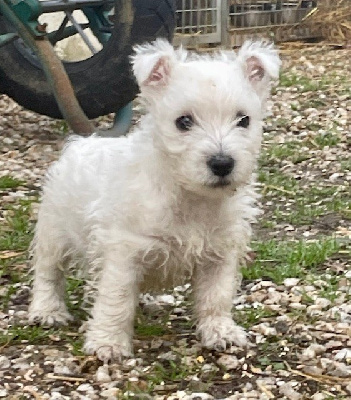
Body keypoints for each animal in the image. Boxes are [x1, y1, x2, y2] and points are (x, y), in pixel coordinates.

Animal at [28, 39, 282, 360]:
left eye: (244, 120)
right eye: (183, 121)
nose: (222, 163)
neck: (190, 197)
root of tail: (81, 143)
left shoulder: (221, 253)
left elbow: (217, 295)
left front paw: (220, 331)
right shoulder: (123, 251)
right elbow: (116, 298)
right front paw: (108, 342)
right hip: (53, 231)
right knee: (48, 272)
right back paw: (47, 310)